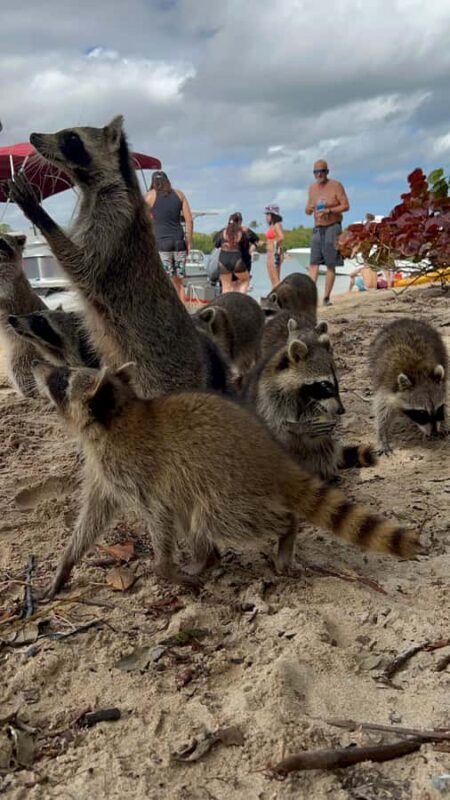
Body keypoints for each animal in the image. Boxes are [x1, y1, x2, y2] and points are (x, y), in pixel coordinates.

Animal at [9, 117, 218, 398]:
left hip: (162, 375)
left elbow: (80, 264)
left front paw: (40, 215)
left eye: (71, 138)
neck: (91, 187)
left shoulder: (114, 219)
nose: (33, 136)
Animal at [32, 361, 419, 597]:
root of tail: (275, 460)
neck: (116, 417)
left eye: (62, 379)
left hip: (229, 489)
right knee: (191, 517)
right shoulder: (104, 471)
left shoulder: (138, 470)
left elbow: (158, 514)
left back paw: (283, 531)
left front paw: (163, 568)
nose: (39, 366)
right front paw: (67, 561)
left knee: (213, 518)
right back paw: (207, 557)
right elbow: (93, 517)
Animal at [244, 319, 376, 481]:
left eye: (337, 382)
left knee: (322, 447)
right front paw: (301, 427)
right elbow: (276, 426)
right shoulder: (270, 396)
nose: (341, 410)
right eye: (324, 384)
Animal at [370, 317, 448, 453]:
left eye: (439, 408)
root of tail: (405, 319)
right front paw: (382, 435)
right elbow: (382, 410)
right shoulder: (386, 385)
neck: (418, 371)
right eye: (421, 413)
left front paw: (442, 422)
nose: (433, 433)